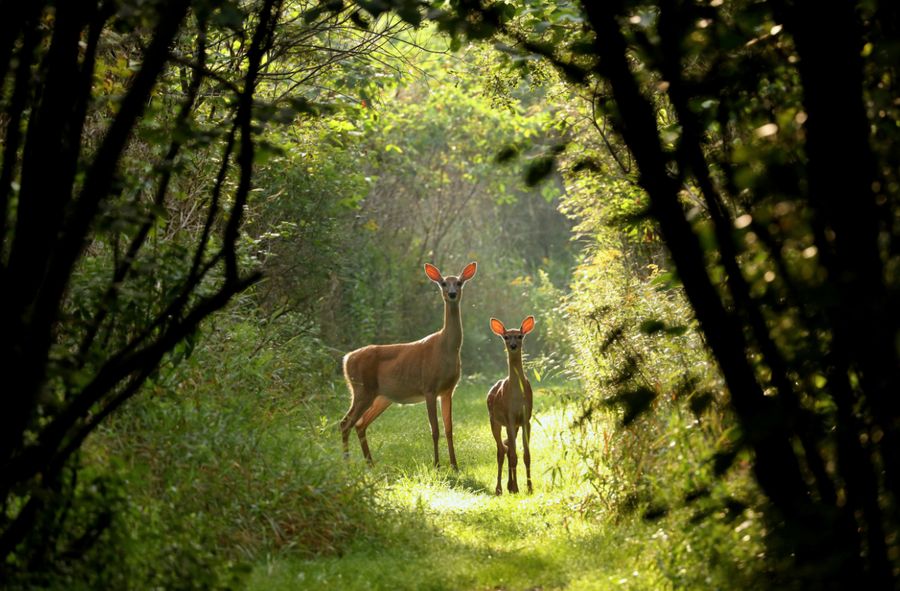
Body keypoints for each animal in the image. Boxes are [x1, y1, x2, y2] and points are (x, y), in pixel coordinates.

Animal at [340, 262, 478, 470]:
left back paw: (370, 464)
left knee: (360, 424)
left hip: (381, 397)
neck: (446, 348)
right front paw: (437, 465)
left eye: (460, 282)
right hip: (362, 389)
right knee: (345, 423)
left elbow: (449, 428)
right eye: (444, 283)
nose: (452, 294)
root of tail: (346, 359)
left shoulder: (448, 390)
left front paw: (455, 466)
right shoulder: (429, 387)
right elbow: (435, 429)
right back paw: (347, 465)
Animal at [486, 316, 536, 498]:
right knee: (501, 451)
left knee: (507, 449)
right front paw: (516, 488)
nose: (513, 346)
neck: (516, 397)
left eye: (520, 336)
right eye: (506, 337)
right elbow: (514, 455)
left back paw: (509, 485)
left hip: (513, 425)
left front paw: (529, 488)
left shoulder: (525, 419)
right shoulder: (509, 417)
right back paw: (500, 488)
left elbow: (526, 455)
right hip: (494, 421)